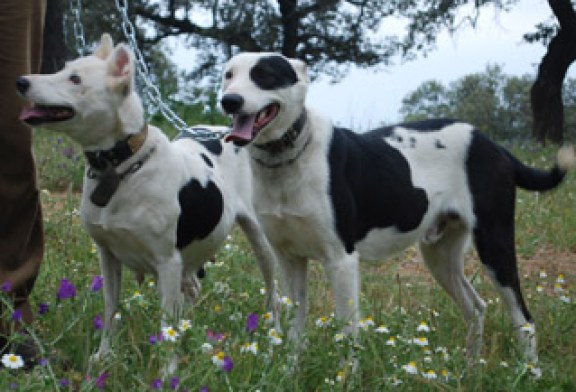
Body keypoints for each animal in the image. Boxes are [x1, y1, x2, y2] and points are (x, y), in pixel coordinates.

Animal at [16, 35, 278, 366]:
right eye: (63, 69)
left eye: (75, 80)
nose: (21, 81)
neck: (121, 166)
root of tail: (229, 133)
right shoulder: (108, 256)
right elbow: (110, 310)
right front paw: (104, 356)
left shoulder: (168, 262)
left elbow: (166, 326)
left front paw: (168, 370)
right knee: (190, 292)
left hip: (261, 243)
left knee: (272, 290)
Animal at [219, 52, 572, 362]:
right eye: (228, 75)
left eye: (265, 75)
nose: (229, 101)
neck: (286, 158)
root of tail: (492, 144)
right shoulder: (290, 261)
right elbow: (293, 333)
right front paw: (289, 374)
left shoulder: (341, 261)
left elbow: (347, 334)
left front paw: (345, 378)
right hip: (440, 254)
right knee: (476, 307)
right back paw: (470, 370)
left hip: (494, 245)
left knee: (523, 317)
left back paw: (530, 372)